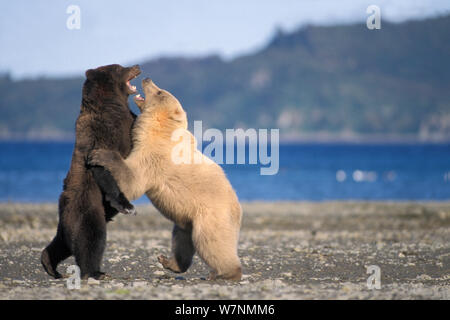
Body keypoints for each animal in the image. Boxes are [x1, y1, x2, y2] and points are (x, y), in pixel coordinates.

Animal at [42, 64, 142, 280]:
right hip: (86, 203)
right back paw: (95, 271)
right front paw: (127, 205)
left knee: (64, 241)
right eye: (120, 67)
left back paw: (49, 264)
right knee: (91, 235)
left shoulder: (128, 121)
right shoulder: (102, 131)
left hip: (70, 215)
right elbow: (101, 164)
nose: (137, 66)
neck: (113, 105)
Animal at [88, 77, 243, 280]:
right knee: (181, 240)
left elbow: (133, 181)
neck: (158, 130)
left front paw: (100, 154)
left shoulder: (154, 157)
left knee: (211, 242)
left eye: (160, 92)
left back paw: (224, 273)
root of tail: (238, 208)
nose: (147, 79)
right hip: (187, 220)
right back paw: (169, 261)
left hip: (211, 216)